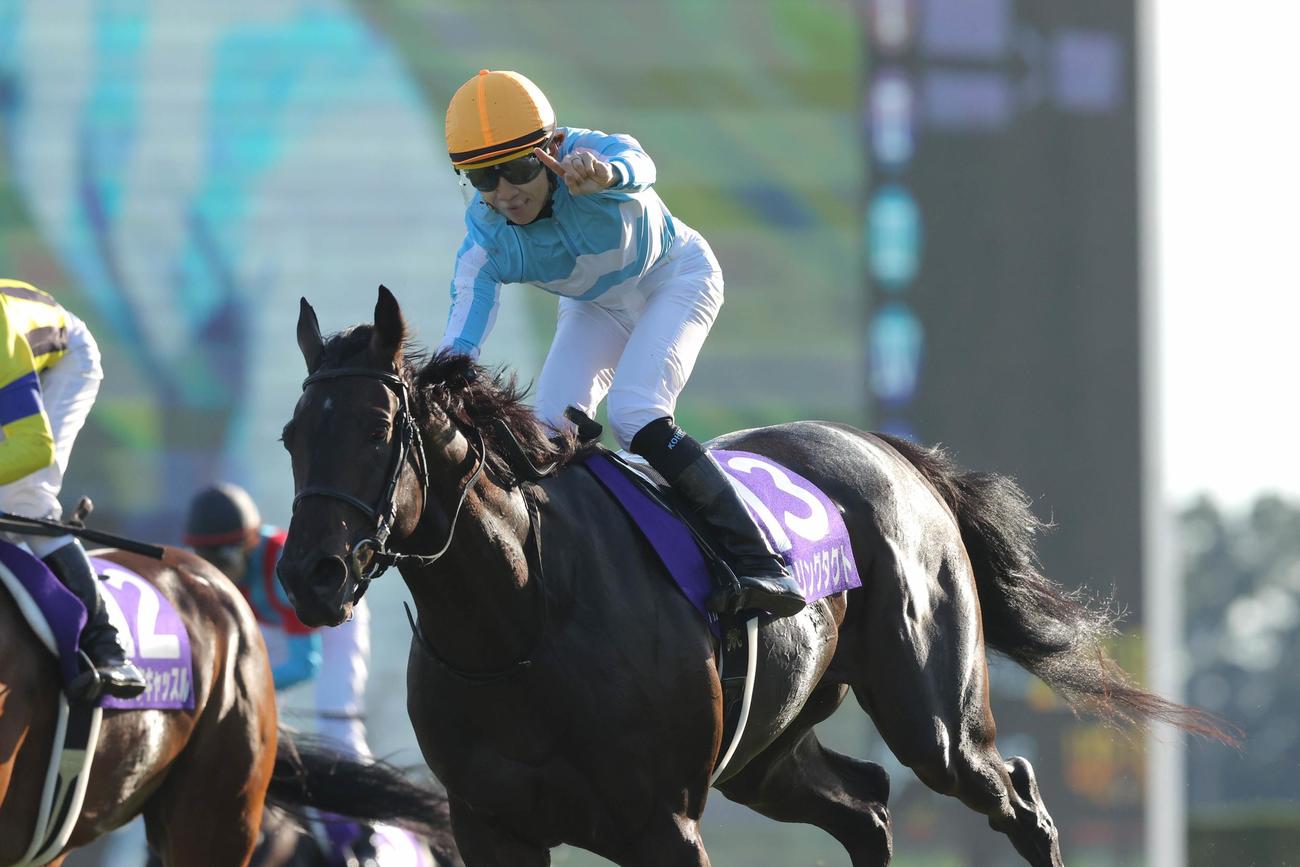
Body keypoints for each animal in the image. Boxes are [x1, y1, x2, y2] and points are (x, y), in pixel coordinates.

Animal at [275, 287, 1232, 867]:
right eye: (292, 434)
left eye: (375, 430)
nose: (308, 574)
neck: (524, 615)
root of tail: (892, 451)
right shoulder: (490, 826)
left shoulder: (662, 824)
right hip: (767, 752)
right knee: (866, 803)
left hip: (936, 720)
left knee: (1016, 796)